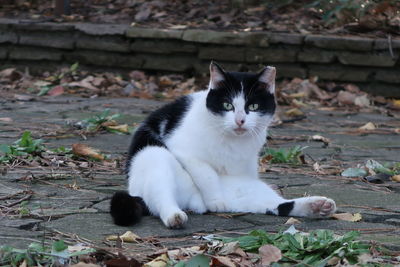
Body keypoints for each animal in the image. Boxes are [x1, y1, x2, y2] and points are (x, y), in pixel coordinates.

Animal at [110, 61, 338, 229]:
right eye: (227, 105)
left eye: (253, 106)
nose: (240, 120)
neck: (231, 141)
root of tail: (190, 202)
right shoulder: (185, 152)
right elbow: (207, 174)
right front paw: (215, 200)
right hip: (155, 158)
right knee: (161, 197)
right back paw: (176, 215)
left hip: (249, 187)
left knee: (275, 205)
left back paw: (316, 206)